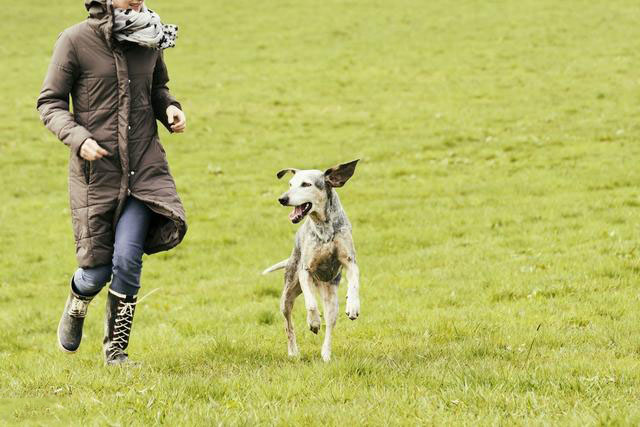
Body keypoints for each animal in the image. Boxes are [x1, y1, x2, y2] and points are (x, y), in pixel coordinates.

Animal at [260, 160, 360, 362]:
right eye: (290, 184)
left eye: (306, 184)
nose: (282, 198)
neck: (323, 225)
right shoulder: (305, 271)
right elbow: (311, 303)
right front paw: (313, 322)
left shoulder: (350, 261)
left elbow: (354, 283)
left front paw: (353, 305)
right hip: (287, 295)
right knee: (288, 325)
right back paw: (293, 352)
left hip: (331, 298)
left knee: (330, 323)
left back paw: (326, 354)